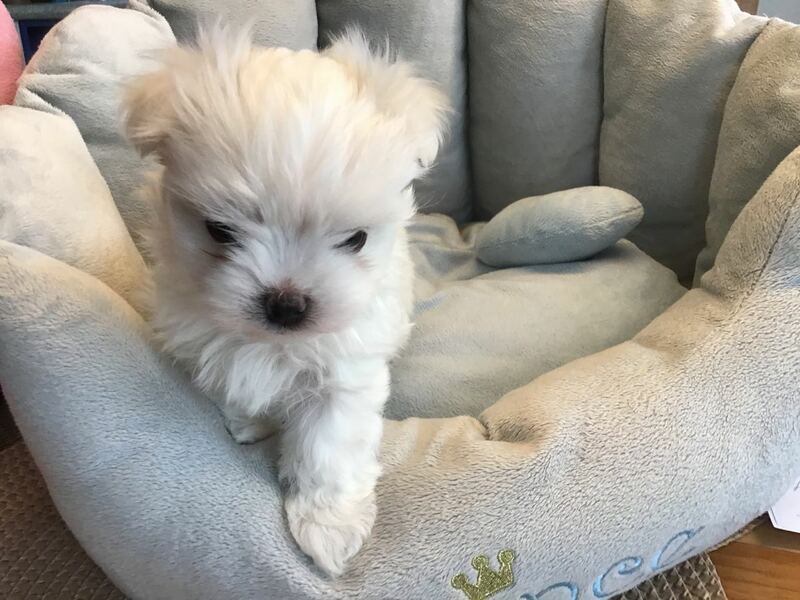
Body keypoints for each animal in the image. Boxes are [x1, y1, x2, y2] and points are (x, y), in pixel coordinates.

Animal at [122, 26, 448, 576]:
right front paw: (248, 422)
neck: (271, 344)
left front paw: (328, 527)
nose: (286, 303)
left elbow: (329, 447)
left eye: (356, 239)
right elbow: (233, 384)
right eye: (220, 230)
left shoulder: (344, 375)